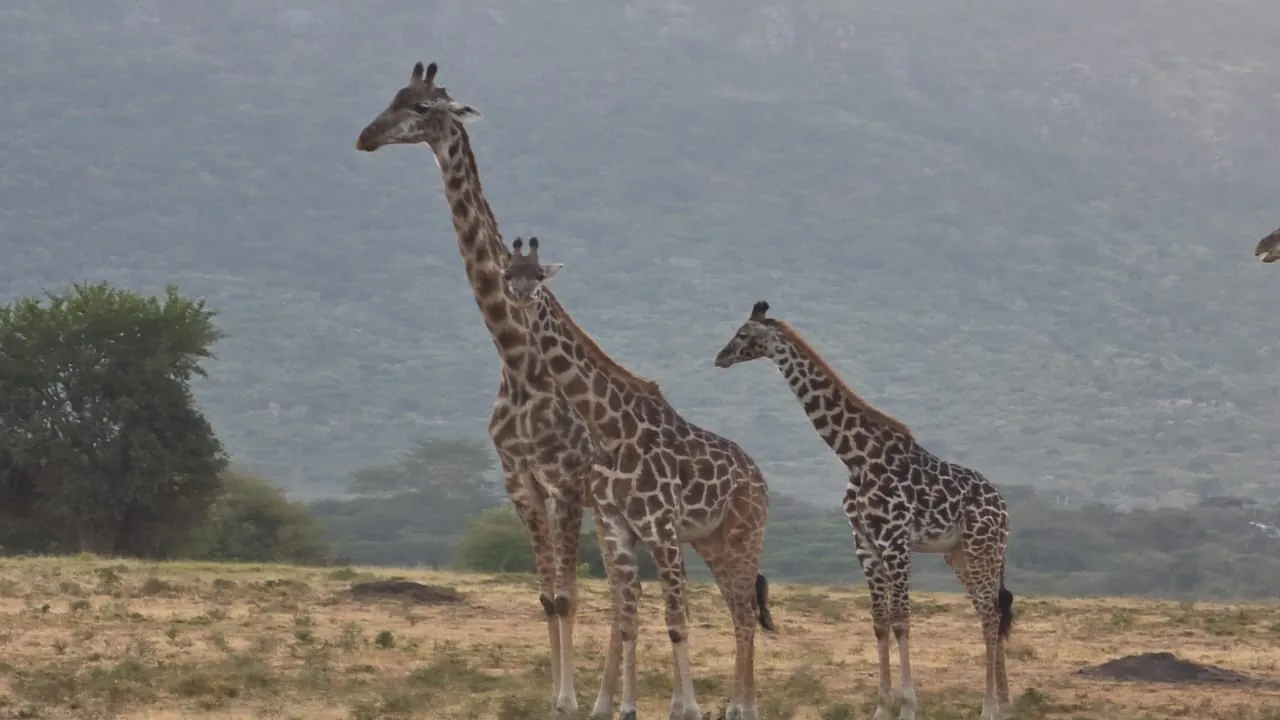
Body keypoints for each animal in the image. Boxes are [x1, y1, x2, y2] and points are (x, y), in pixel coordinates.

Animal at [354, 61, 625, 718]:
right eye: (393, 96)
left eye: (423, 107)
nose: (366, 137)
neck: (517, 362)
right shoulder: (519, 480)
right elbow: (548, 597)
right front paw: (555, 698)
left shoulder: (566, 481)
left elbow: (570, 595)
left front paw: (569, 701)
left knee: (625, 594)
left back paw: (606, 698)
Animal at [503, 237, 775, 720]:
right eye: (507, 274)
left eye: (537, 275)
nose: (519, 295)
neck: (610, 427)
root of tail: (759, 478)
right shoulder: (617, 526)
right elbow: (628, 618)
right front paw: (623, 708)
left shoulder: (660, 526)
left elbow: (675, 620)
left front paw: (688, 709)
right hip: (713, 541)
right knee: (739, 611)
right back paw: (739, 706)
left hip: (746, 533)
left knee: (744, 614)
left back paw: (741, 709)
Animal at [712, 301, 1015, 720]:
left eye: (742, 334)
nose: (719, 358)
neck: (856, 458)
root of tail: (1003, 506)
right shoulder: (865, 543)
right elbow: (880, 622)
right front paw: (882, 707)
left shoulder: (895, 541)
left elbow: (902, 621)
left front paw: (908, 707)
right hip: (959, 554)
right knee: (993, 611)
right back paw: (1004, 703)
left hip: (982, 548)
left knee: (990, 614)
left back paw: (989, 707)